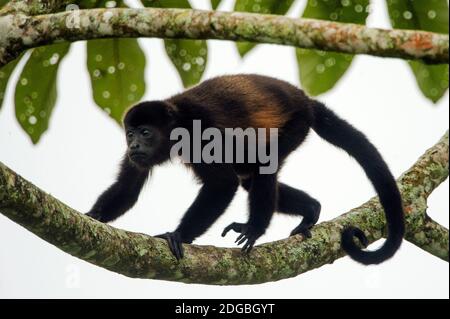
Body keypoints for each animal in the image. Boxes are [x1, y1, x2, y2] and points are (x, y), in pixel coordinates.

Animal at [87, 74, 404, 264]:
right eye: (130, 133)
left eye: (145, 132)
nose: (133, 145)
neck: (175, 125)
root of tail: (304, 99)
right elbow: (128, 189)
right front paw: (91, 218)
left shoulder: (200, 132)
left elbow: (223, 184)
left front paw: (178, 236)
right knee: (250, 178)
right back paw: (311, 209)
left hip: (296, 124)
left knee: (261, 167)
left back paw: (255, 227)